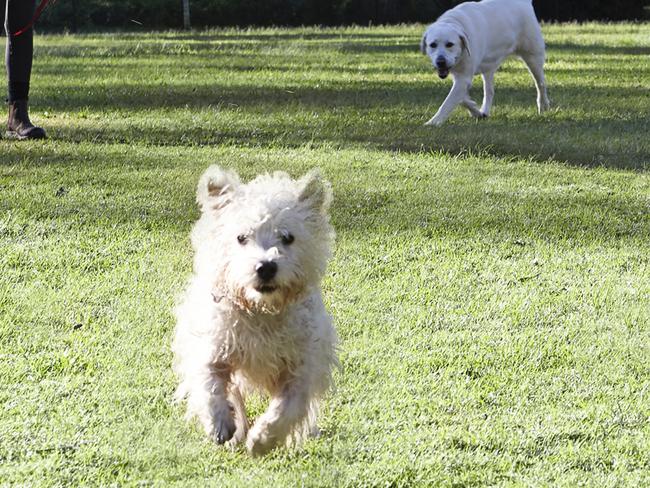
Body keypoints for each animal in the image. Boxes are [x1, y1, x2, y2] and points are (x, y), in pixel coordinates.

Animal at [172, 166, 336, 456]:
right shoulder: (213, 344)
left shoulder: (303, 366)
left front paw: (262, 439)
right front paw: (220, 424)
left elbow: (287, 406)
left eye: (288, 237)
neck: (261, 310)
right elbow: (209, 383)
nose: (266, 266)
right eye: (241, 237)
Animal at [418, 0, 548, 127]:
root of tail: (524, 2)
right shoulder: (460, 77)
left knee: (540, 83)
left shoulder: (463, 78)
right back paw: (484, 111)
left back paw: (543, 105)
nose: (440, 62)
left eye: (449, 44)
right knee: (489, 91)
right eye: (433, 45)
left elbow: (448, 102)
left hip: (533, 57)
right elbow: (462, 99)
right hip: (489, 67)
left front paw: (433, 122)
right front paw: (476, 111)